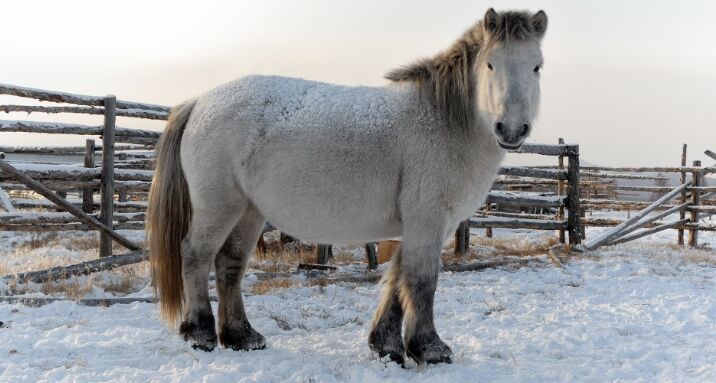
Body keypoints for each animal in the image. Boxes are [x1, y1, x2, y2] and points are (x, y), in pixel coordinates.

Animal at [147, 9, 548, 366]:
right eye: (491, 64)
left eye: (537, 65)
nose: (511, 129)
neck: (442, 120)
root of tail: (199, 102)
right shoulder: (428, 221)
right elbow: (421, 281)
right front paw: (430, 349)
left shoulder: (422, 226)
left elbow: (398, 280)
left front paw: (387, 346)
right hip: (219, 207)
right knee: (196, 256)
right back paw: (200, 333)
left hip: (248, 211)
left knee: (229, 264)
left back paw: (242, 337)